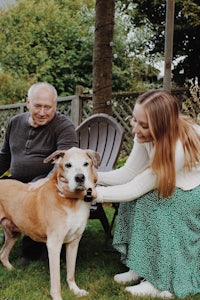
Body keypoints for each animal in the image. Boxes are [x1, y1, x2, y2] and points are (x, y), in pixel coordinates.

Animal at [0, 148, 100, 300]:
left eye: (86, 163)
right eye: (68, 165)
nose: (79, 178)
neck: (71, 201)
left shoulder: (74, 242)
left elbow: (71, 272)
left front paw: (75, 290)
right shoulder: (54, 244)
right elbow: (56, 279)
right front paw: (57, 296)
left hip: (13, 234)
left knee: (3, 254)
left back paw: (13, 270)